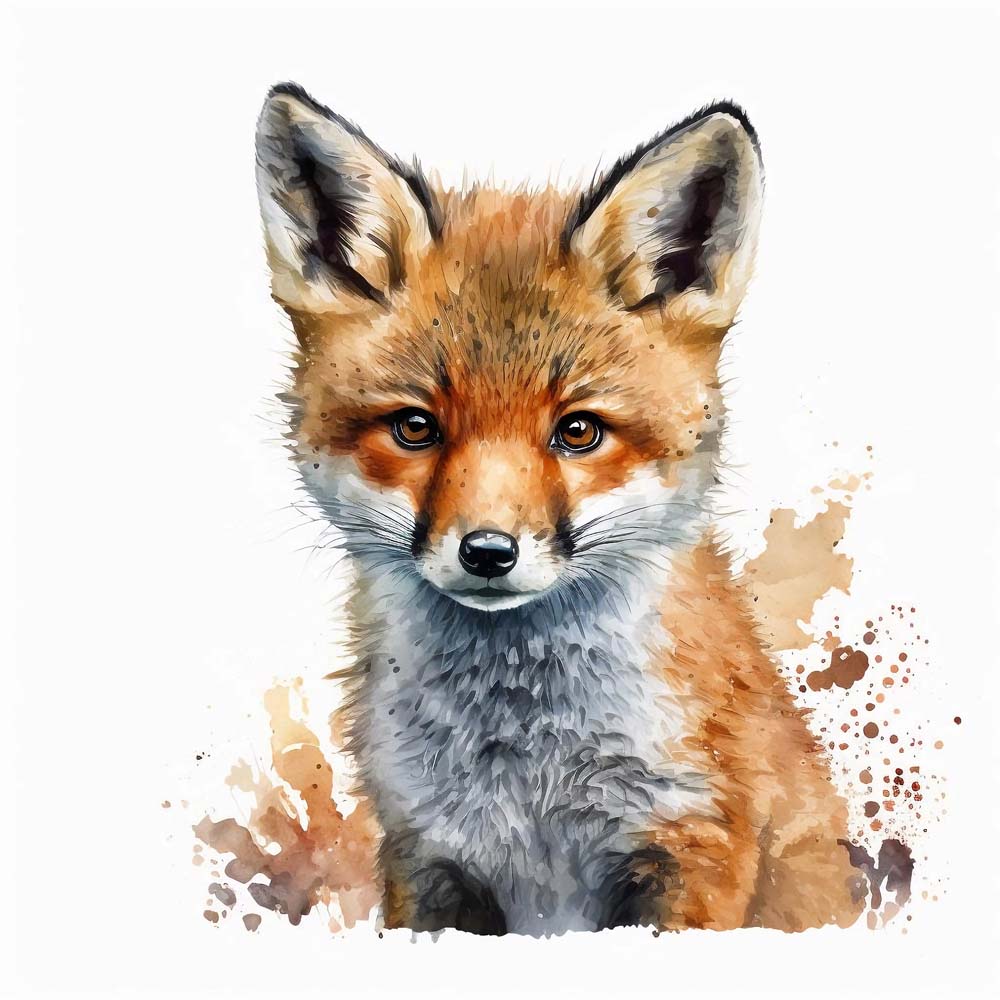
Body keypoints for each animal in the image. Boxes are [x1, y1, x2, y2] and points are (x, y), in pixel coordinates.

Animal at [255, 82, 865, 936]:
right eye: (416, 427)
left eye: (578, 431)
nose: (487, 552)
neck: (529, 779)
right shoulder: (428, 860)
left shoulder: (693, 844)